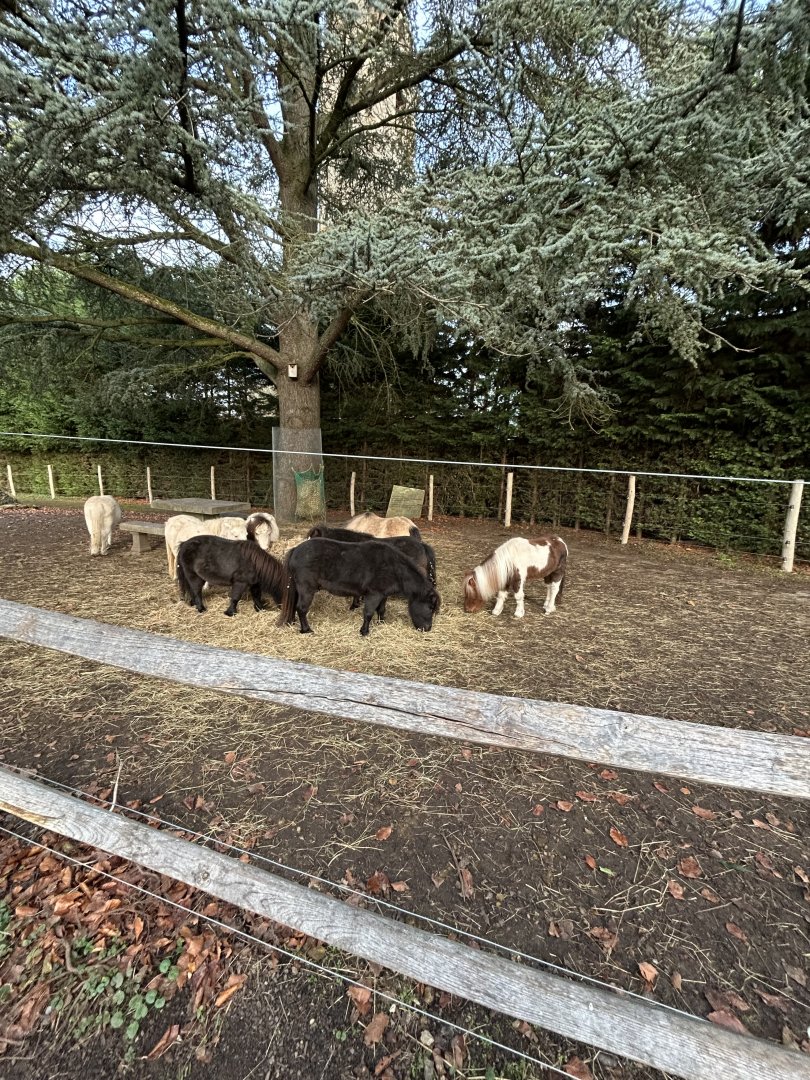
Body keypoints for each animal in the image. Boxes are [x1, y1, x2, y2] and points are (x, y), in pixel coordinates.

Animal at [278, 537, 441, 635]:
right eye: (430, 607)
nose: (427, 629)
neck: (394, 568)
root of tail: (295, 550)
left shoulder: (383, 595)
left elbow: (381, 610)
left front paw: (381, 623)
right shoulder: (373, 595)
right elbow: (368, 613)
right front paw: (364, 631)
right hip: (307, 590)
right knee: (302, 609)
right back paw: (306, 629)